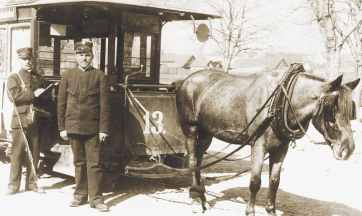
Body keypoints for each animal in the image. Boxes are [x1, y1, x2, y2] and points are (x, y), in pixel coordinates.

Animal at [175, 64, 360, 216]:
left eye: (350, 110)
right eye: (332, 109)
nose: (348, 149)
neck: (280, 101)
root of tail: (186, 81)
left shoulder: (281, 148)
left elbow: (274, 181)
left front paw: (271, 210)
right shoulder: (258, 145)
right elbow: (255, 180)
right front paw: (250, 211)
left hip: (207, 134)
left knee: (199, 160)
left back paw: (200, 196)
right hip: (191, 129)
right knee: (193, 161)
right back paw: (196, 200)